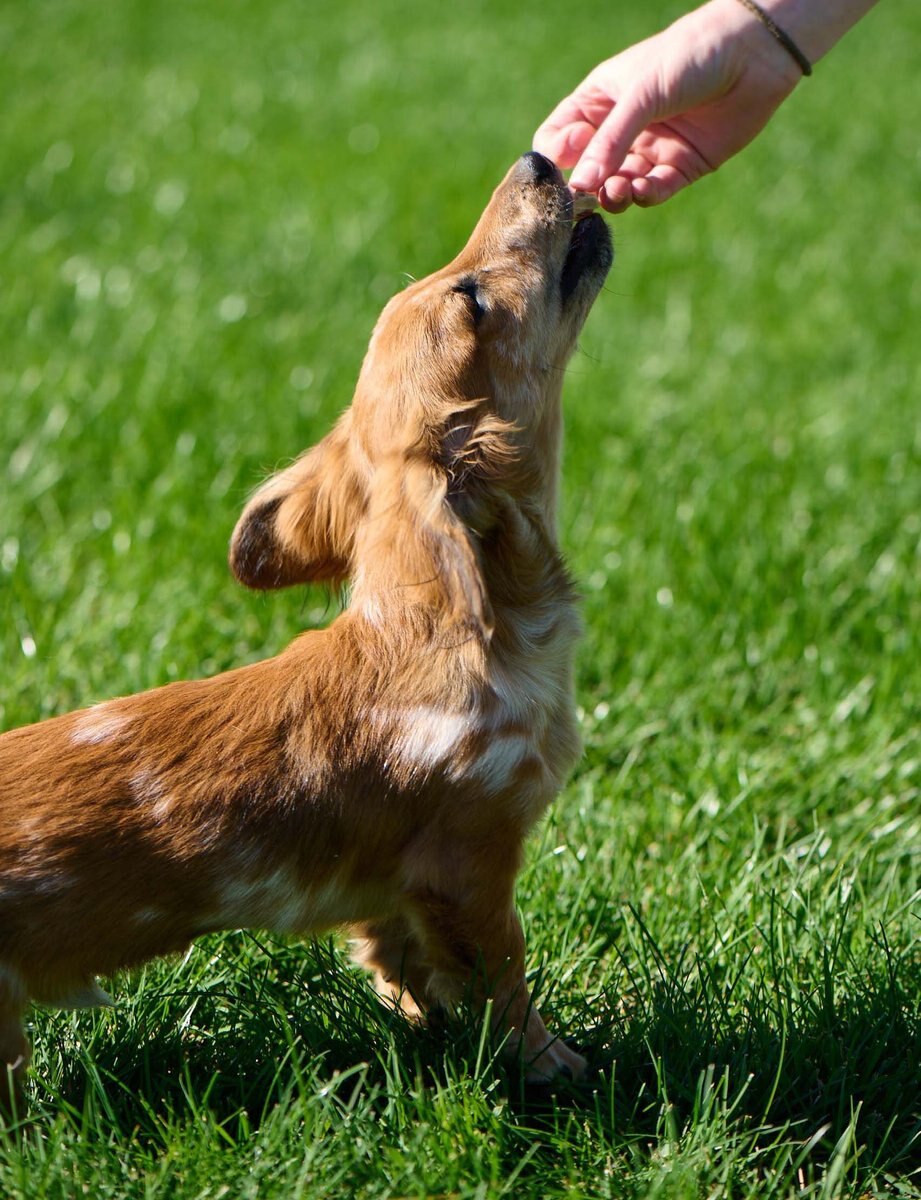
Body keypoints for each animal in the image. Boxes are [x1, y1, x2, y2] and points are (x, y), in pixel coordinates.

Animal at [3, 152, 614, 1113]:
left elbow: (405, 969)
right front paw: (558, 1069)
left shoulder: (397, 890)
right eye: (472, 299)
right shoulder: (468, 861)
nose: (537, 158)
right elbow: (505, 981)